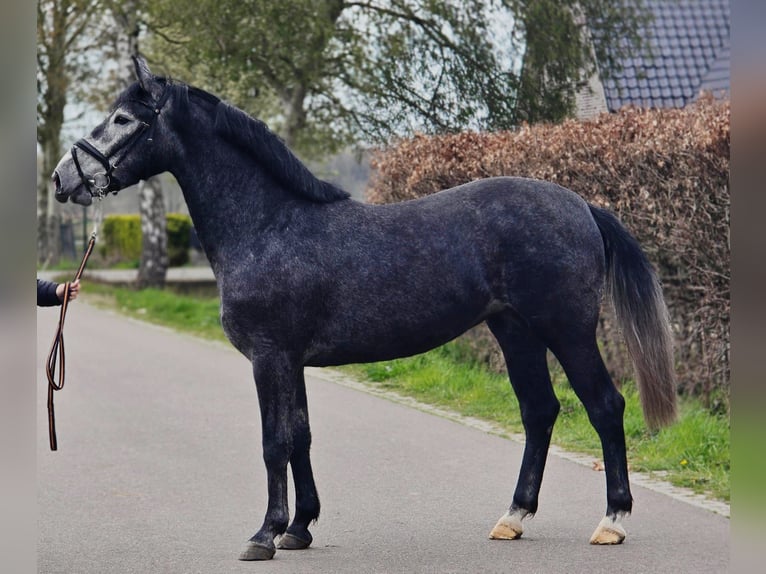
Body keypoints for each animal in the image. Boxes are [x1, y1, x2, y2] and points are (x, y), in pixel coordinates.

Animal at [52, 56, 676, 561]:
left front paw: (264, 534)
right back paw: (513, 516)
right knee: (540, 411)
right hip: (515, 331)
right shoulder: (291, 361)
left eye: (124, 120)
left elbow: (273, 441)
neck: (269, 224)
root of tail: (581, 205)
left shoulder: (269, 357)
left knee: (604, 406)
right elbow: (300, 436)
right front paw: (299, 528)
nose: (64, 178)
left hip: (567, 331)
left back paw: (612, 521)